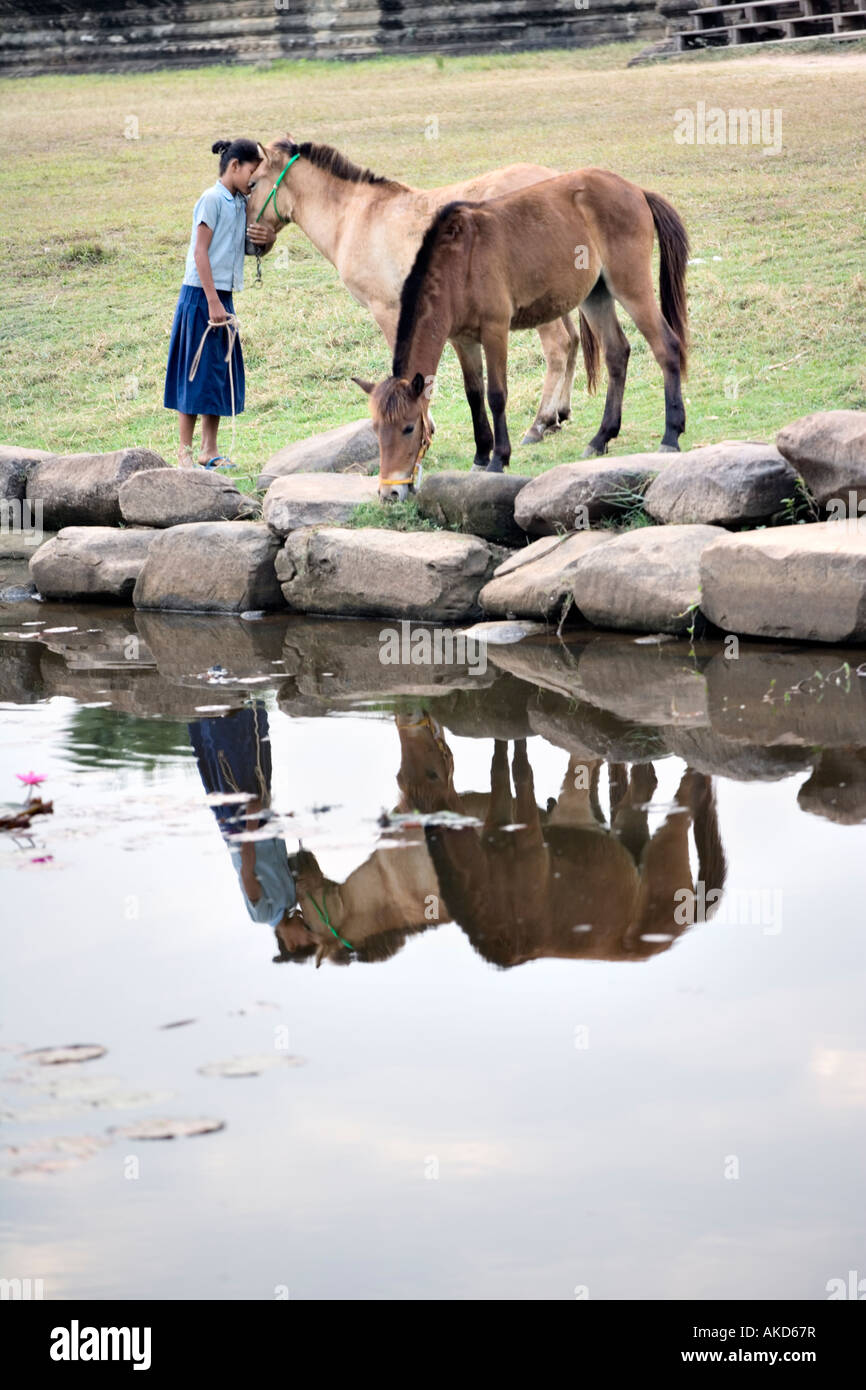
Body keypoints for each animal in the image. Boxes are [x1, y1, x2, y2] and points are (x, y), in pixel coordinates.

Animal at [241, 136, 583, 450]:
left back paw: (539, 423)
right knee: (573, 341)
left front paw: (423, 427)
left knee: (558, 346)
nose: (249, 243)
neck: (354, 217)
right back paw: (559, 415)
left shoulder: (387, 310)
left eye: (252, 184)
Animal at [354, 166, 692, 500]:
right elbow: (474, 395)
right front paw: (480, 456)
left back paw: (670, 435)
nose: (389, 493)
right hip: (596, 295)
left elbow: (496, 395)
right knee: (617, 354)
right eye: (376, 429)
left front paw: (498, 459)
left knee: (666, 346)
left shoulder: (495, 330)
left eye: (409, 428)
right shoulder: (463, 341)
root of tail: (636, 191)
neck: (459, 263)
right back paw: (601, 438)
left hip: (630, 287)